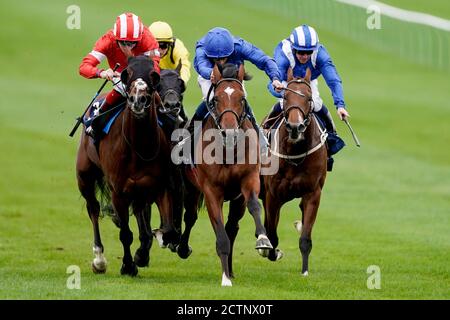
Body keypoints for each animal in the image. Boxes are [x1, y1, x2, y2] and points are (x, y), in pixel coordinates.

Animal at [75, 56, 178, 276]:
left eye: (152, 75)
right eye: (127, 74)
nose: (138, 100)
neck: (139, 147)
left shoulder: (161, 186)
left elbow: (167, 229)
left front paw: (144, 253)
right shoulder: (118, 191)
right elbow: (125, 233)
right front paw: (128, 265)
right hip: (85, 176)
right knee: (93, 209)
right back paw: (99, 260)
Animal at [178, 63, 270, 288]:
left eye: (242, 98)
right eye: (216, 99)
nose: (230, 134)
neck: (228, 150)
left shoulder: (249, 180)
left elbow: (254, 205)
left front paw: (263, 240)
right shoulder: (211, 191)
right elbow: (219, 232)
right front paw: (225, 278)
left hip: (236, 200)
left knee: (233, 226)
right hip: (191, 189)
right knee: (191, 216)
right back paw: (183, 248)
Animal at [260, 67, 326, 276]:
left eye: (308, 97)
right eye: (286, 96)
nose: (295, 127)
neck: (295, 154)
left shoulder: (313, 193)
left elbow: (305, 238)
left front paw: (304, 271)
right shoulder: (273, 195)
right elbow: (272, 234)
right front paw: (271, 252)